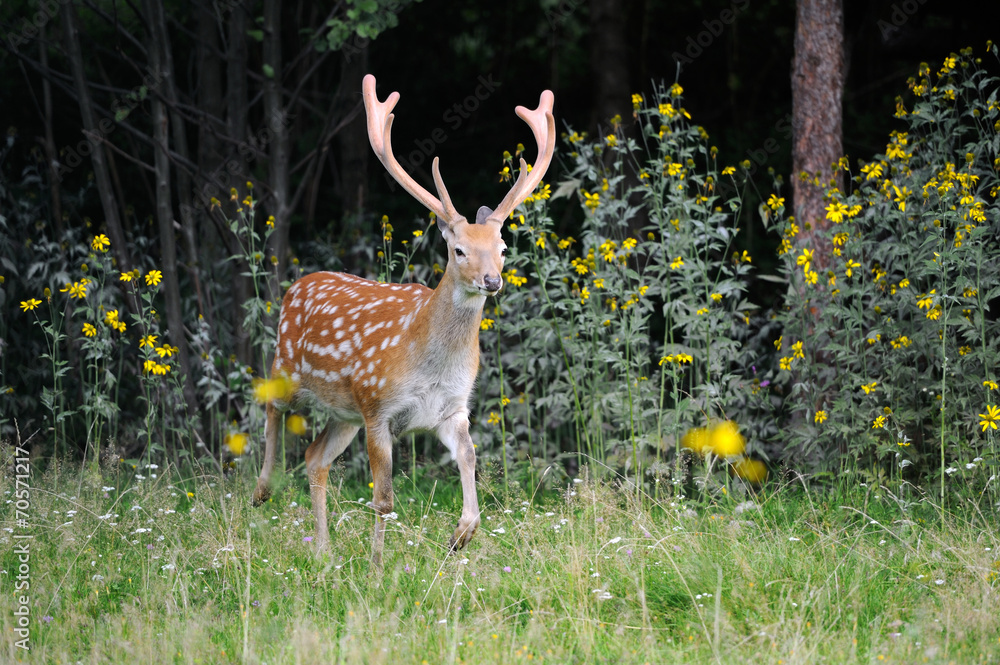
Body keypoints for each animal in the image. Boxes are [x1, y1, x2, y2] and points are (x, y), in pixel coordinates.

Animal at [252, 74, 556, 564]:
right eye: (459, 250)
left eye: (504, 248)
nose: (491, 280)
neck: (430, 363)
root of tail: (298, 284)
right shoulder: (379, 407)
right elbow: (384, 499)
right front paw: (377, 567)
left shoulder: (452, 410)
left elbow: (469, 461)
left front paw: (460, 535)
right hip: (291, 368)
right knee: (270, 404)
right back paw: (261, 490)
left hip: (345, 411)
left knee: (316, 457)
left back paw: (324, 552)